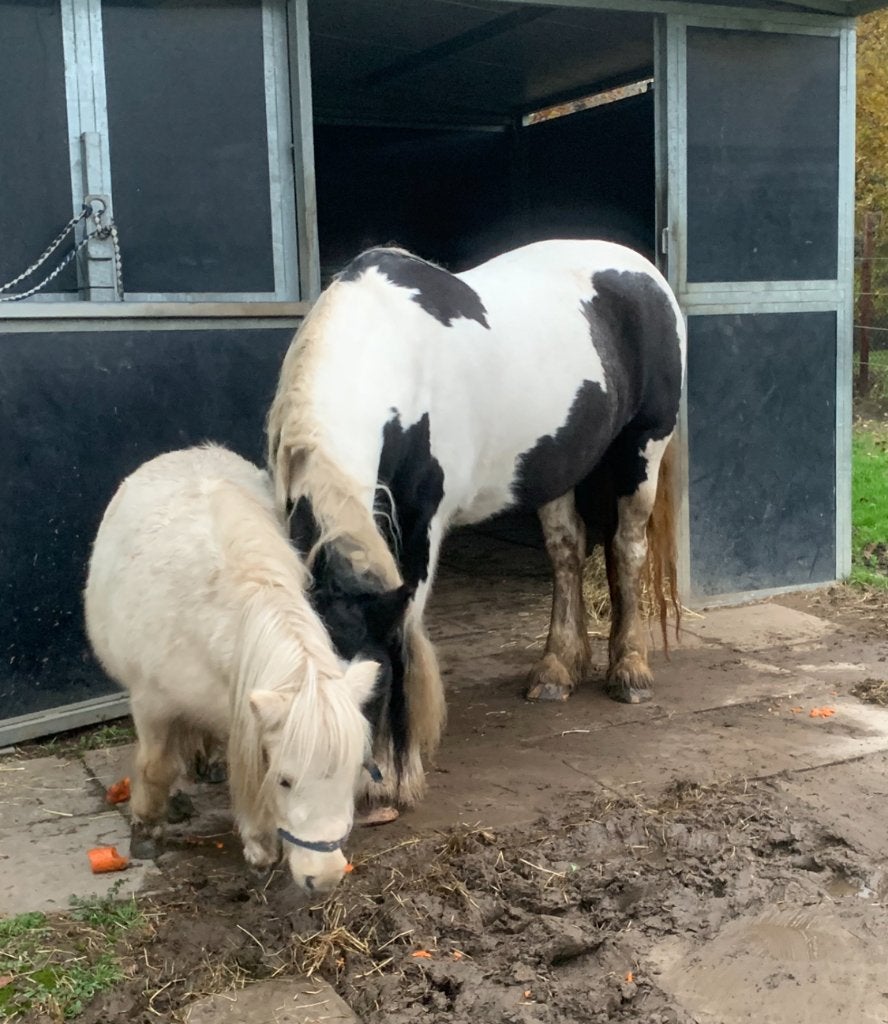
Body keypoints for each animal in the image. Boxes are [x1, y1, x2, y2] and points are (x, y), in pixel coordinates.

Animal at [84, 444, 404, 894]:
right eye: (286, 780)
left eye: (352, 773)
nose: (323, 877)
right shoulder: (153, 706)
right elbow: (157, 767)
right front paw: (146, 829)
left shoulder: (245, 710)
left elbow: (246, 768)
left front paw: (259, 845)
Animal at [266, 239, 687, 809]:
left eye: (375, 685)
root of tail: (644, 271)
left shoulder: (421, 528)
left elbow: (407, 631)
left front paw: (397, 778)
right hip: (557, 466)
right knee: (567, 551)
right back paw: (557, 670)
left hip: (642, 449)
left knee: (626, 549)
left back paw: (630, 671)